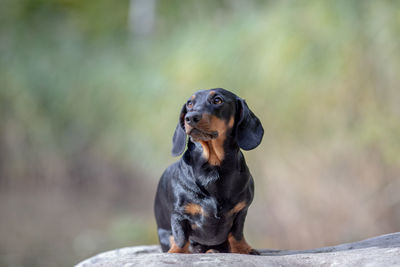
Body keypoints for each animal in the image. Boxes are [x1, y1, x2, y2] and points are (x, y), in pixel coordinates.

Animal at [155, 88, 264, 255]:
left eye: (217, 100)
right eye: (190, 103)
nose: (190, 118)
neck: (213, 168)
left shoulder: (241, 211)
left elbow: (237, 234)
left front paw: (243, 249)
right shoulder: (179, 214)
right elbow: (180, 237)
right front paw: (176, 252)